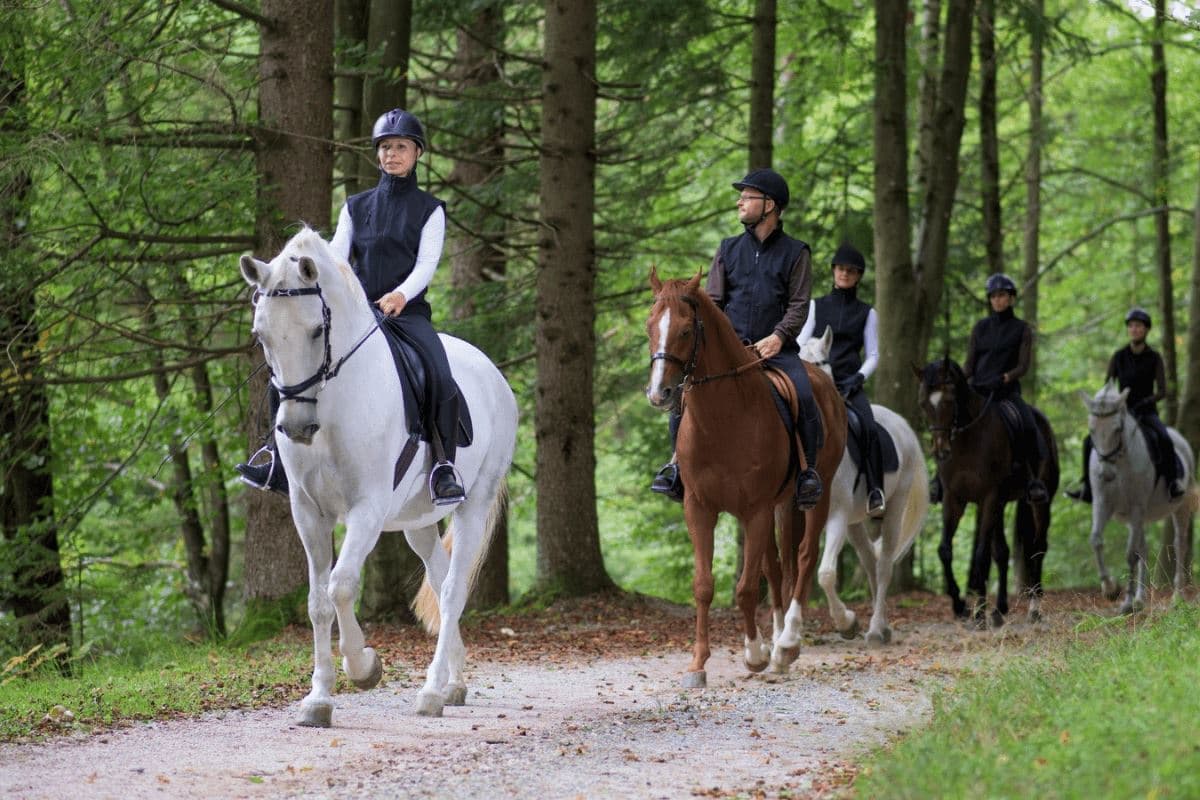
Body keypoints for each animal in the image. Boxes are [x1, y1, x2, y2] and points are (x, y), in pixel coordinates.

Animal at [239, 227, 518, 727]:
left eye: (316, 330)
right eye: (261, 334)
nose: (296, 427)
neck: (333, 403)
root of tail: (494, 375)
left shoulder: (365, 510)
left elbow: (342, 585)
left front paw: (364, 666)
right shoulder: (307, 512)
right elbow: (317, 601)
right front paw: (318, 700)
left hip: (474, 504)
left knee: (453, 590)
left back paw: (431, 692)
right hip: (417, 522)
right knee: (441, 578)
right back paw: (454, 683)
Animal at [644, 269, 846, 687]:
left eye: (685, 330)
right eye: (649, 327)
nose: (659, 394)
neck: (723, 418)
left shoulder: (755, 511)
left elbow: (747, 588)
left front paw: (755, 655)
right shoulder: (700, 508)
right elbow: (705, 586)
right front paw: (698, 663)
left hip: (816, 496)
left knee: (804, 557)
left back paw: (787, 644)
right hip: (780, 506)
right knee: (779, 565)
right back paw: (778, 642)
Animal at [800, 327, 929, 645]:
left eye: (820, 363)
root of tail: (902, 425)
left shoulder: (836, 516)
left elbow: (826, 573)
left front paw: (846, 622)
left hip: (893, 508)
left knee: (883, 566)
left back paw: (875, 630)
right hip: (855, 522)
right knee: (870, 561)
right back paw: (882, 625)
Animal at [913, 357, 1058, 628]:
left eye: (950, 400)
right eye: (923, 403)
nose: (940, 451)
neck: (967, 439)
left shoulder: (989, 497)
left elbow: (981, 555)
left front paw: (978, 613)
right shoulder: (955, 499)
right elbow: (946, 550)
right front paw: (962, 606)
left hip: (1040, 502)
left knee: (1038, 548)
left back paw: (1034, 608)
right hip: (1000, 505)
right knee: (1002, 552)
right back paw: (999, 610)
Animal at [1080, 383, 1198, 613]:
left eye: (1117, 429)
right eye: (1092, 430)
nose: (1106, 474)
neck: (1120, 462)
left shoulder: (1136, 507)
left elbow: (1130, 554)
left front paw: (1125, 602)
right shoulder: (1102, 504)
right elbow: (1096, 540)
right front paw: (1110, 589)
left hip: (1179, 507)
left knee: (1179, 544)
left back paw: (1177, 597)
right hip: (1139, 516)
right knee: (1144, 548)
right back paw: (1140, 599)